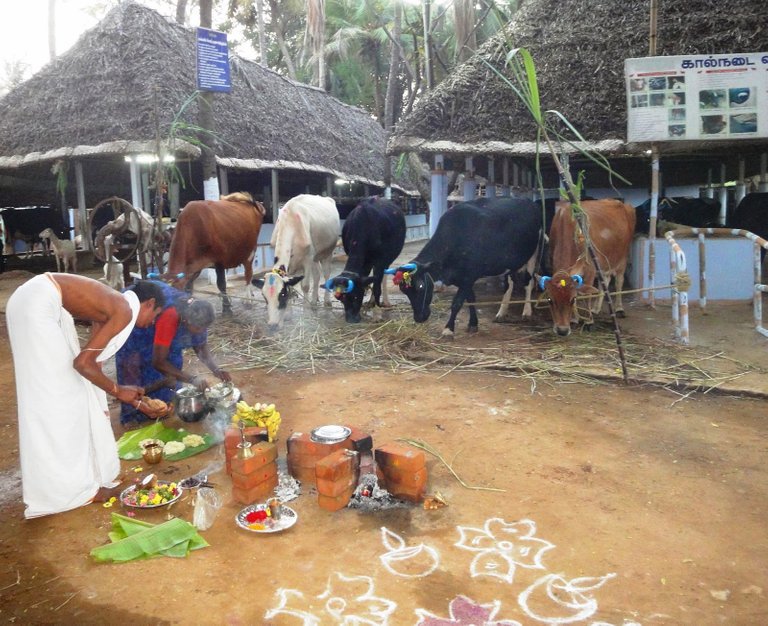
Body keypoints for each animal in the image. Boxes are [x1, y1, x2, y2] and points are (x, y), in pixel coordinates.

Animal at [255, 194, 340, 332]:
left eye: (281, 295)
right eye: (264, 297)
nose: (272, 325)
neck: (290, 222)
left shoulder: (307, 259)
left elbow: (305, 286)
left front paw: (305, 314)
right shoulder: (292, 263)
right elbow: (291, 285)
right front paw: (288, 315)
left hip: (326, 252)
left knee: (326, 274)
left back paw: (326, 301)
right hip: (315, 256)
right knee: (317, 275)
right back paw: (314, 301)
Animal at [388, 199, 544, 336]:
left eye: (420, 286)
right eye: (404, 290)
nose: (419, 318)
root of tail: (529, 202)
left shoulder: (469, 276)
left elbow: (457, 303)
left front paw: (448, 329)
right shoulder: (463, 278)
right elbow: (471, 299)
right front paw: (473, 324)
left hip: (533, 254)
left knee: (528, 282)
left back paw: (527, 311)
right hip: (512, 262)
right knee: (510, 283)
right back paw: (502, 312)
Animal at [540, 200, 636, 336]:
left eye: (572, 300)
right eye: (550, 300)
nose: (562, 330)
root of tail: (620, 203)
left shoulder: (590, 270)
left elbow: (586, 295)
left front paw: (589, 322)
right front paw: (574, 319)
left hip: (622, 257)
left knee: (619, 281)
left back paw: (619, 309)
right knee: (605, 281)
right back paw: (596, 308)